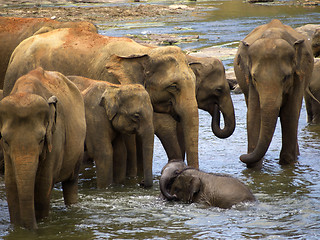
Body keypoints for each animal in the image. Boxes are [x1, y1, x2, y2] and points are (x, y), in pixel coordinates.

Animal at [0, 67, 86, 229]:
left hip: (78, 150)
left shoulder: (56, 136)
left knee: (71, 183)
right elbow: (11, 184)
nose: (33, 228)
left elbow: (43, 184)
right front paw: (17, 227)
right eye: (6, 141)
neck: (25, 90)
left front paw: (41, 222)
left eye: (41, 140)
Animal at [234, 18, 314, 168]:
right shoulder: (251, 84)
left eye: (286, 77)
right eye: (254, 78)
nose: (241, 156)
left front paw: (288, 164)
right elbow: (253, 115)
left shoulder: (298, 77)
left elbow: (290, 113)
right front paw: (254, 167)